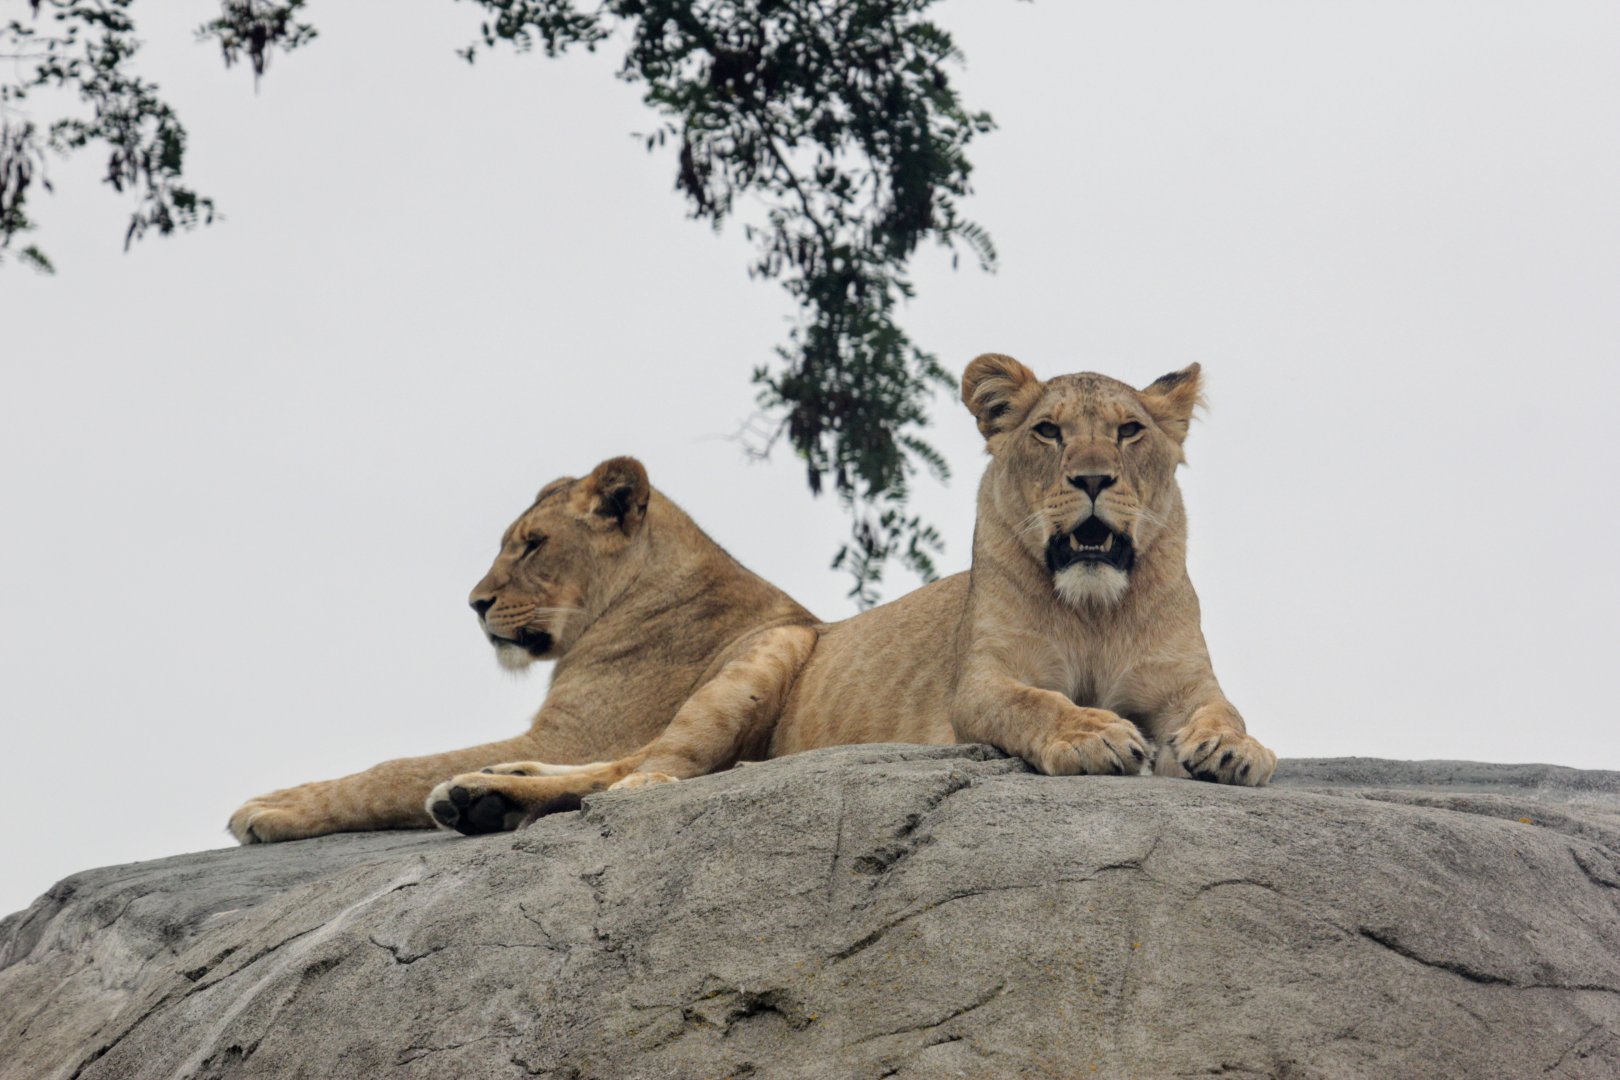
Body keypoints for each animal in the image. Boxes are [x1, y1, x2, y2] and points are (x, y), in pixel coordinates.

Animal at [423, 357, 1275, 834]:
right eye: (1049, 431)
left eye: (1129, 431)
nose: (1093, 478)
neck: (1098, 604)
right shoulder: (980, 683)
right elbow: (1032, 703)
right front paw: (1092, 735)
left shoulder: (1187, 685)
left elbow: (1226, 711)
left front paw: (1237, 750)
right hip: (769, 654)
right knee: (647, 773)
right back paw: (492, 797)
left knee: (612, 769)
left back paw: (484, 796)